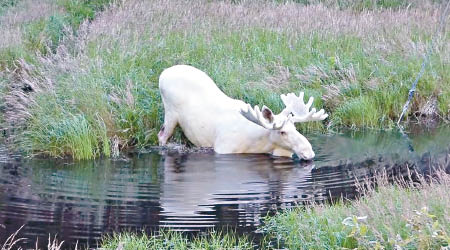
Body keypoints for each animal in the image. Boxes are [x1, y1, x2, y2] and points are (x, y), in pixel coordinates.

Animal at [158, 64, 326, 158]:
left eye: (295, 128)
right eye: (282, 132)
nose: (308, 152)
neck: (258, 144)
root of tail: (163, 73)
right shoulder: (223, 149)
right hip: (171, 113)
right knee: (161, 135)